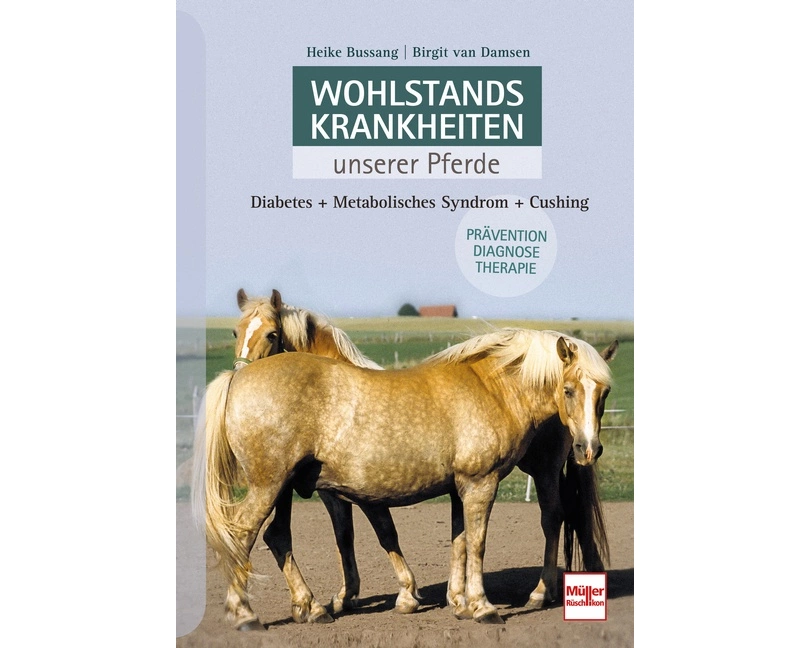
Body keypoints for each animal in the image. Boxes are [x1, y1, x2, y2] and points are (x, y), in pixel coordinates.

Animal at [198, 326, 614, 629]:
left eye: (604, 393)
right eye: (568, 389)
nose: (589, 448)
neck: (491, 387)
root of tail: (238, 378)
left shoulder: (460, 487)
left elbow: (459, 541)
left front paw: (458, 603)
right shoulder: (480, 483)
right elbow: (475, 544)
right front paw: (481, 607)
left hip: (281, 489)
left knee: (276, 537)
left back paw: (310, 607)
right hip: (269, 485)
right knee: (243, 534)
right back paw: (245, 613)